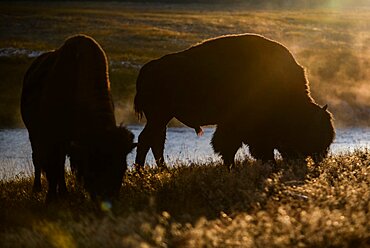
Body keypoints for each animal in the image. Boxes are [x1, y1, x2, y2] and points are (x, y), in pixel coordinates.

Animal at [20, 35, 136, 202]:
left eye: (123, 167)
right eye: (95, 164)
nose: (107, 198)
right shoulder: (52, 138)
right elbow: (52, 170)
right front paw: (50, 199)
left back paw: (63, 192)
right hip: (33, 133)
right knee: (38, 159)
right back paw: (37, 189)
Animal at [134, 32, 336, 169]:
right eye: (312, 132)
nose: (319, 158)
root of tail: (149, 67)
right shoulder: (237, 127)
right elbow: (229, 147)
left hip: (162, 117)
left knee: (156, 141)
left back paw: (161, 170)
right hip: (159, 116)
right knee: (147, 140)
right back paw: (141, 172)